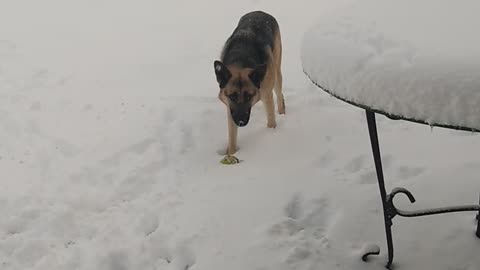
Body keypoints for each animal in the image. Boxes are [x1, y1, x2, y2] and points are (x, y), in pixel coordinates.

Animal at [215, 11, 284, 155]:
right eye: (232, 96)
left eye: (249, 96)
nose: (241, 122)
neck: (241, 60)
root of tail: (260, 11)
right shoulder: (230, 108)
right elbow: (232, 137)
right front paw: (231, 153)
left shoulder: (267, 96)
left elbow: (271, 121)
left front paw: (272, 135)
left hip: (276, 72)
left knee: (280, 94)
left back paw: (283, 113)